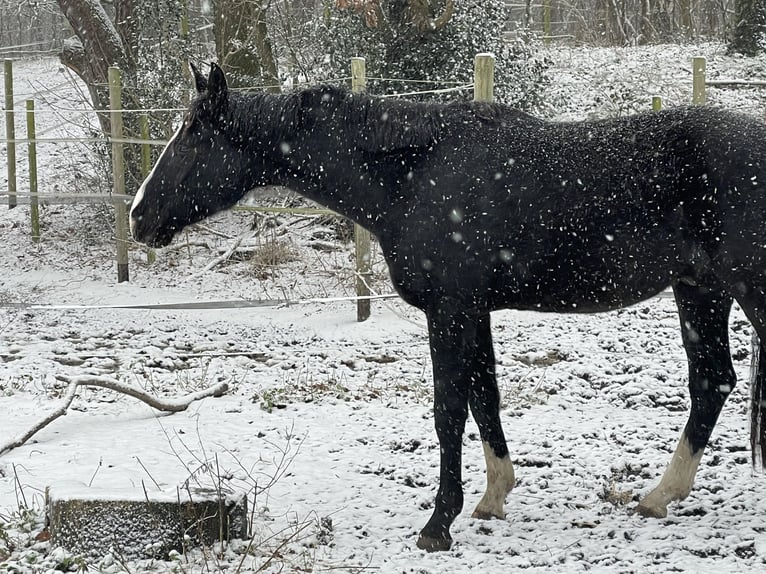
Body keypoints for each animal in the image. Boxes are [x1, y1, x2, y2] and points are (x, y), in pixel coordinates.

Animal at [132, 63, 766, 552]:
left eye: (193, 135)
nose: (139, 215)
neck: (416, 172)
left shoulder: (451, 309)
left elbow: (448, 411)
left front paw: (437, 525)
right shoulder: (474, 310)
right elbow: (485, 398)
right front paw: (491, 498)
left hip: (744, 290)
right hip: (700, 290)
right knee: (712, 381)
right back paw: (659, 497)